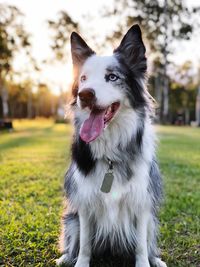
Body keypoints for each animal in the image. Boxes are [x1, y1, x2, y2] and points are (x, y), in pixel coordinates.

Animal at [56, 25, 167, 267]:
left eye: (112, 77)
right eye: (83, 78)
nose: (84, 94)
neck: (110, 154)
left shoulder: (141, 201)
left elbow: (141, 245)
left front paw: (145, 262)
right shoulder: (85, 203)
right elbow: (85, 245)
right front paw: (80, 263)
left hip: (153, 221)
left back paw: (156, 259)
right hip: (71, 218)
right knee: (74, 239)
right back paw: (65, 257)